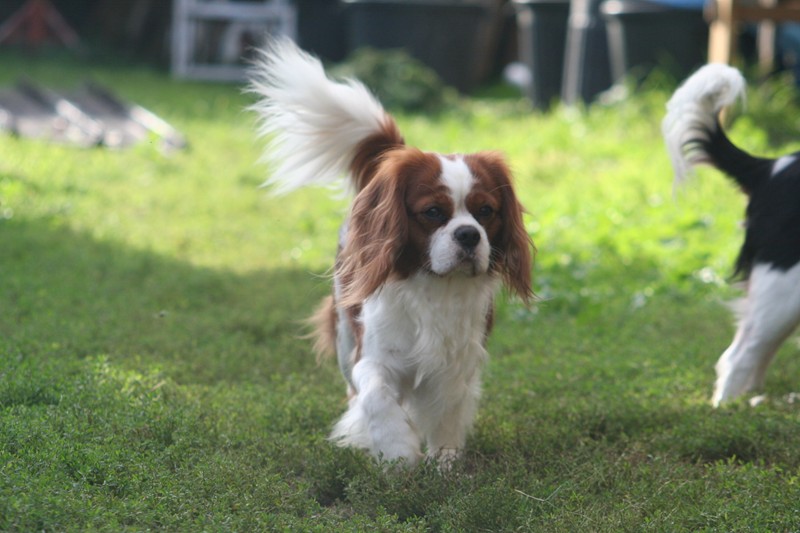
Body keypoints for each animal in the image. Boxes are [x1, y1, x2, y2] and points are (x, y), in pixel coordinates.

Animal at [248, 39, 536, 464]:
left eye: (486, 212)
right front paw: (398, 453)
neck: (434, 287)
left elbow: (448, 413)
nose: (469, 235)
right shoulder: (373, 357)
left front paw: (445, 461)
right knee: (354, 390)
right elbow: (377, 397)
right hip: (343, 335)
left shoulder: (457, 364)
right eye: (432, 212)